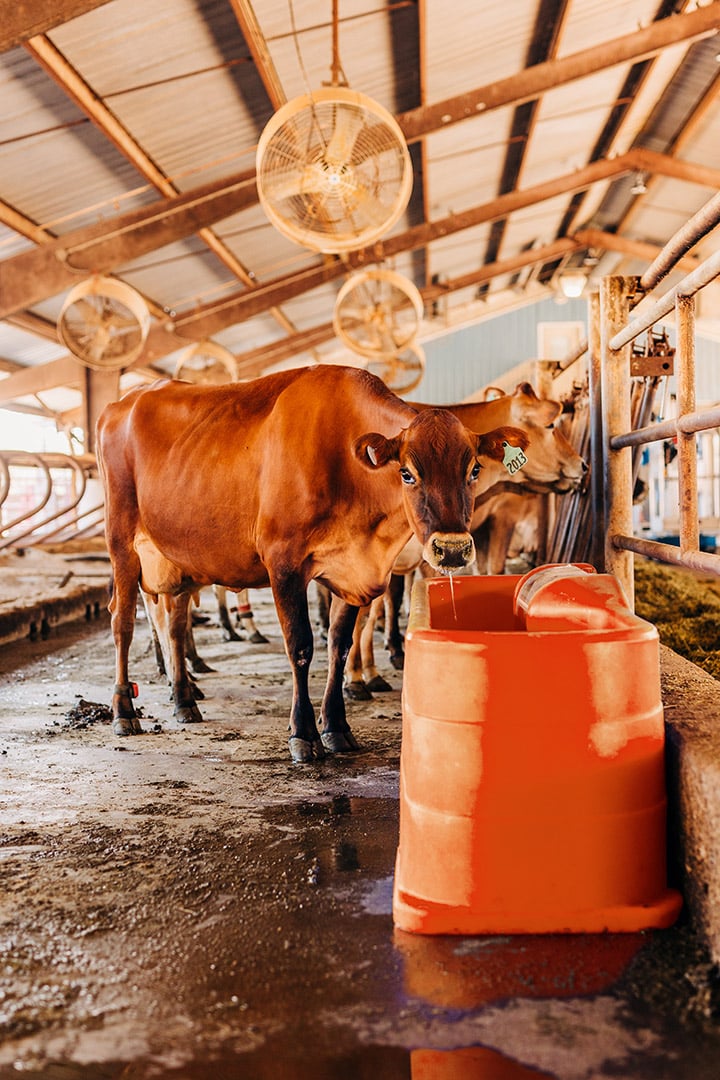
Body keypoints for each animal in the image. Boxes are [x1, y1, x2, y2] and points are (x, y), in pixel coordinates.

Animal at [95, 364, 529, 763]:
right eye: (407, 473)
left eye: (474, 470)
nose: (452, 550)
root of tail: (123, 402)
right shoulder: (283, 562)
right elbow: (301, 646)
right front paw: (303, 734)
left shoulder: (353, 573)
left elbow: (339, 644)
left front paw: (336, 726)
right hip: (122, 541)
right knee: (123, 622)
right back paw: (124, 710)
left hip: (178, 556)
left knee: (174, 624)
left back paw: (184, 700)